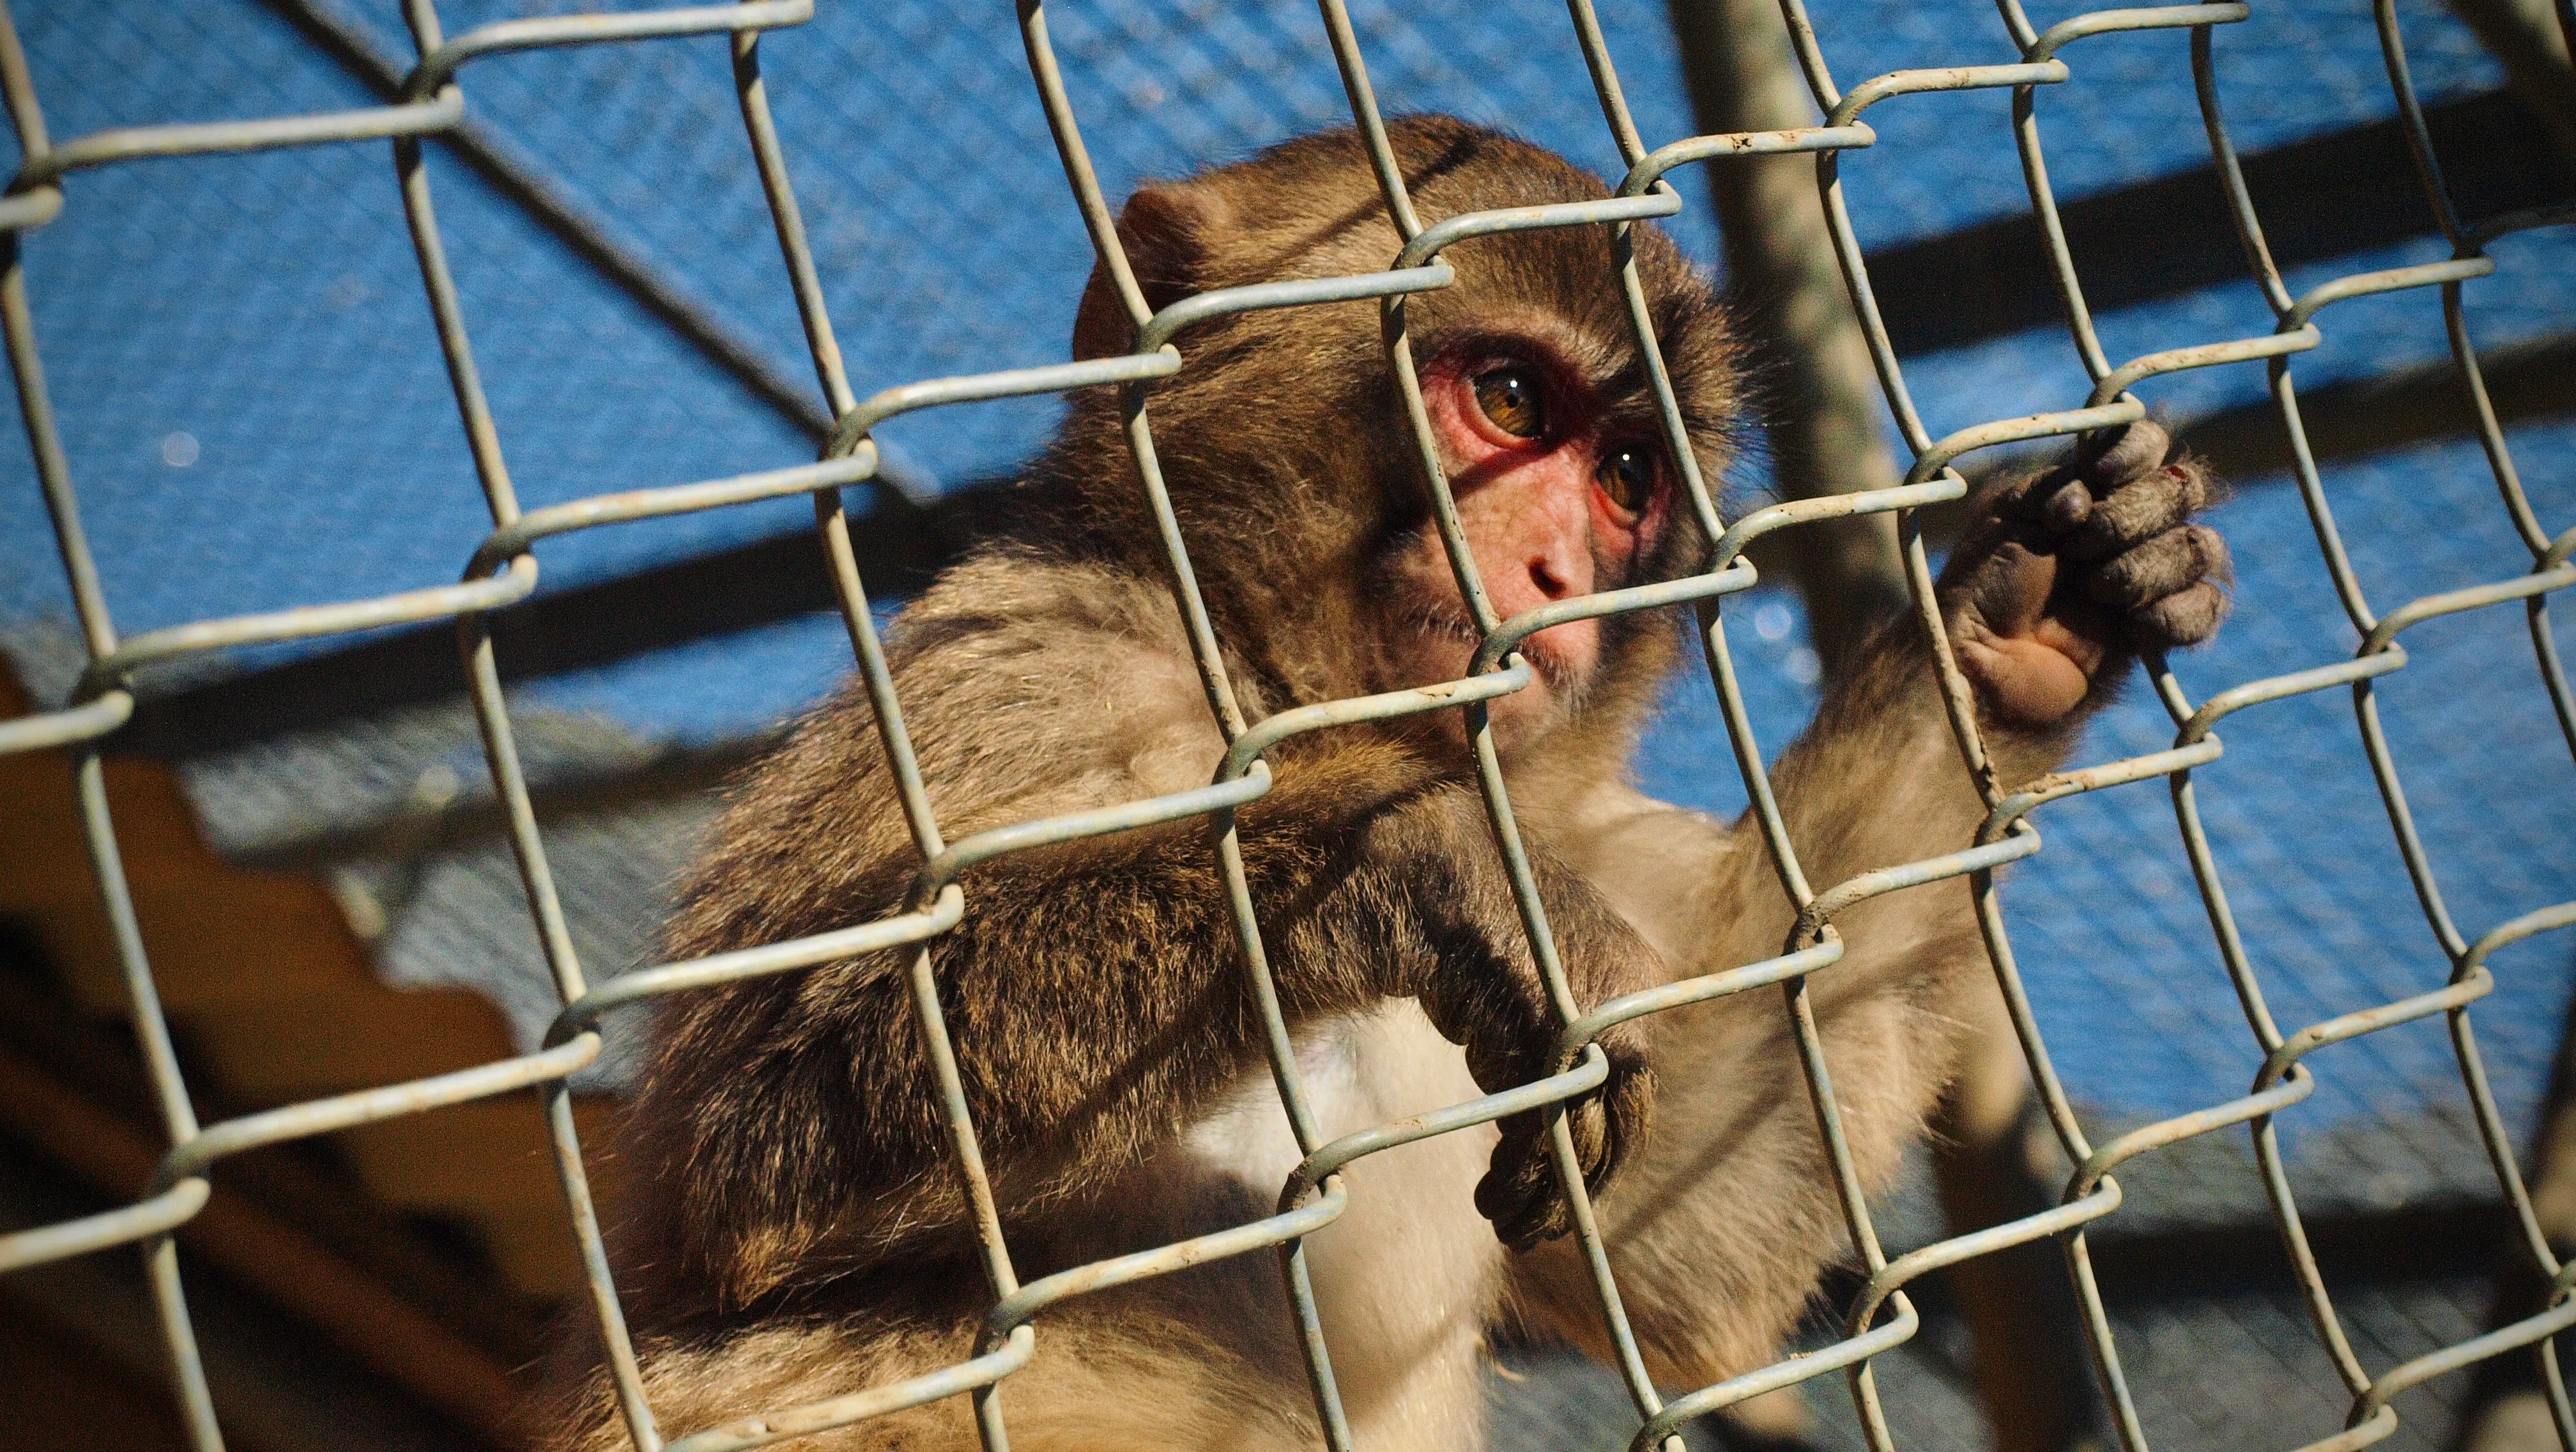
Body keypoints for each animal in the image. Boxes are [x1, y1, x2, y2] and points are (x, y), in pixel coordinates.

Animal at [550, 115, 2232, 1452]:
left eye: (1628, 477)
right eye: (1509, 398)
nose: (1555, 575)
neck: (1292, 709)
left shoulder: (1588, 828)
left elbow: (1679, 1254)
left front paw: (2029, 616)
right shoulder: (1017, 667)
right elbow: (741, 1148)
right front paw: (1419, 874)